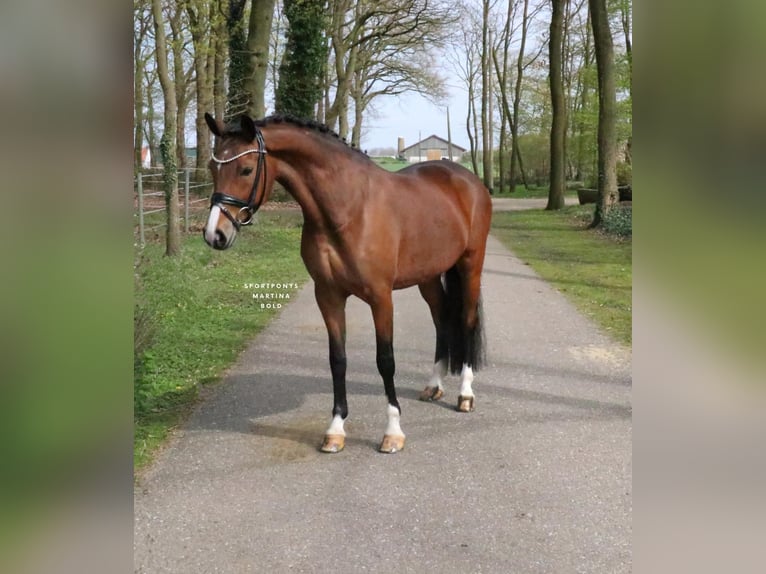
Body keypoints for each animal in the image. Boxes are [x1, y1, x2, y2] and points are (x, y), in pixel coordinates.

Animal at [202, 113, 492, 454]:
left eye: (246, 169)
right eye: (212, 169)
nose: (215, 234)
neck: (349, 208)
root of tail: (467, 179)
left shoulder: (381, 297)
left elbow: (385, 360)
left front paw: (393, 432)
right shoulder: (328, 295)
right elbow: (337, 359)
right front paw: (335, 429)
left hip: (470, 265)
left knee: (467, 320)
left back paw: (465, 395)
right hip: (429, 276)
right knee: (442, 319)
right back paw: (434, 385)